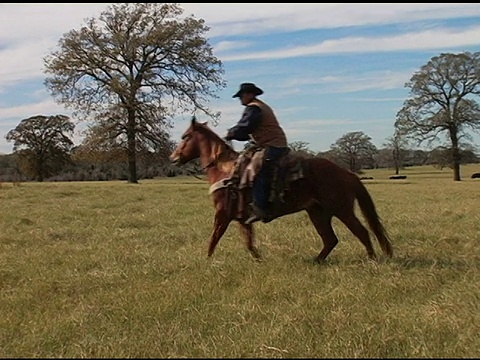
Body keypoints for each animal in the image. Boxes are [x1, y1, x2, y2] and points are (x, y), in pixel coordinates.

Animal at [170, 116, 394, 262]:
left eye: (185, 136)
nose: (173, 158)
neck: (224, 170)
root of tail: (346, 173)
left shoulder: (222, 215)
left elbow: (214, 239)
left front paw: (206, 261)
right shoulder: (242, 219)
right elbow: (249, 242)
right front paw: (259, 260)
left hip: (342, 210)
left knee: (361, 232)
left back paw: (371, 259)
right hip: (318, 213)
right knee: (330, 239)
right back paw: (316, 261)